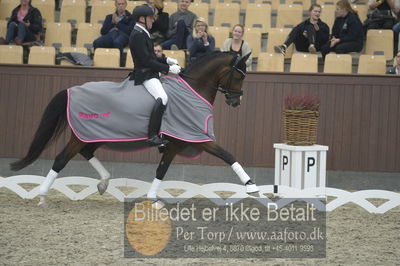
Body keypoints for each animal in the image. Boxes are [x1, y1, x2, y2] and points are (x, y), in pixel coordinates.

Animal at [10, 51, 260, 206]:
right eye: (239, 76)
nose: (236, 102)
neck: (193, 90)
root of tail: (72, 90)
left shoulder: (175, 144)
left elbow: (161, 170)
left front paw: (152, 198)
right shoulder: (197, 137)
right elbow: (228, 155)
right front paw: (251, 186)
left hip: (96, 135)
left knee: (86, 152)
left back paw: (104, 182)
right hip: (83, 136)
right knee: (61, 159)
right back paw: (42, 195)